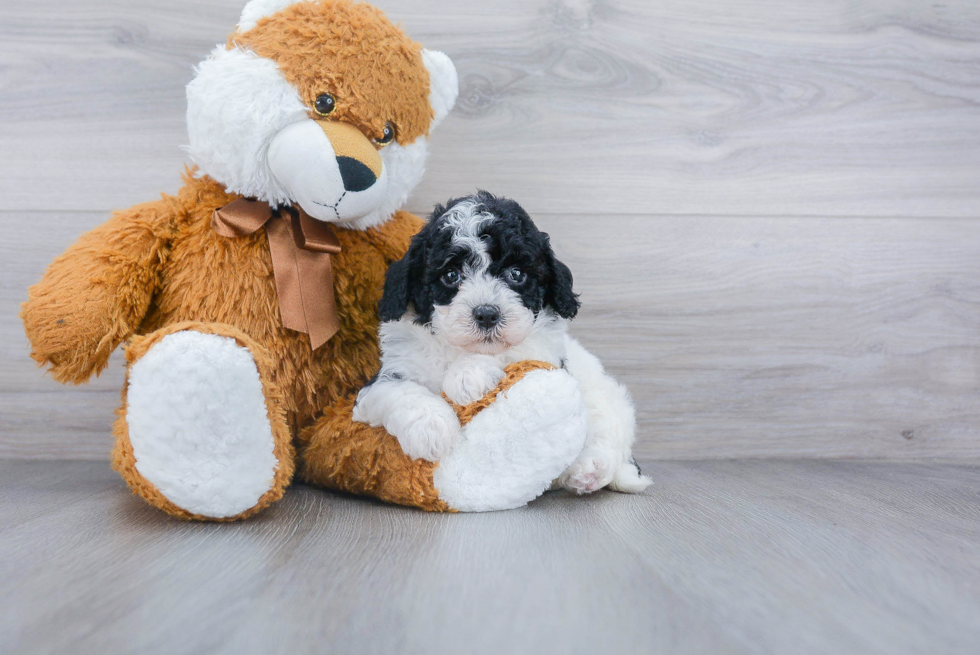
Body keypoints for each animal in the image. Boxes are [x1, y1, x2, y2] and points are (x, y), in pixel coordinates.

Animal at [352, 192, 652, 494]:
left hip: (604, 397)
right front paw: (431, 428)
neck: (457, 349)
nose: (487, 314)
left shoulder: (545, 353)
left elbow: (514, 350)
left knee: (607, 433)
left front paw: (468, 376)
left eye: (516, 274)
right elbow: (397, 390)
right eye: (451, 275)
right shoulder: (384, 377)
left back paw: (589, 469)